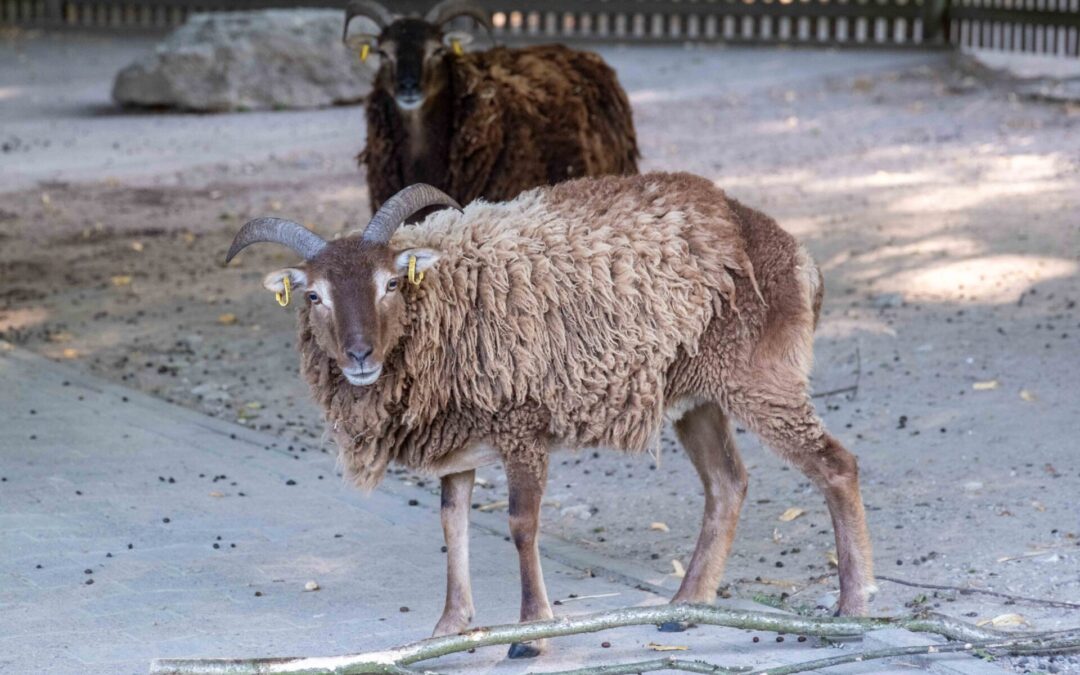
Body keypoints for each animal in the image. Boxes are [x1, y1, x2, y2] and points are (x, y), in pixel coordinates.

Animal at [225, 174, 875, 659]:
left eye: (390, 283)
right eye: (314, 295)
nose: (360, 357)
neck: (447, 299)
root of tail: (795, 255)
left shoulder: (522, 424)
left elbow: (521, 523)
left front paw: (531, 634)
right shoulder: (456, 444)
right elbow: (452, 523)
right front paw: (449, 627)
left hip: (763, 380)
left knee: (836, 466)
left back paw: (851, 609)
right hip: (697, 397)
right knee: (727, 484)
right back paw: (682, 610)